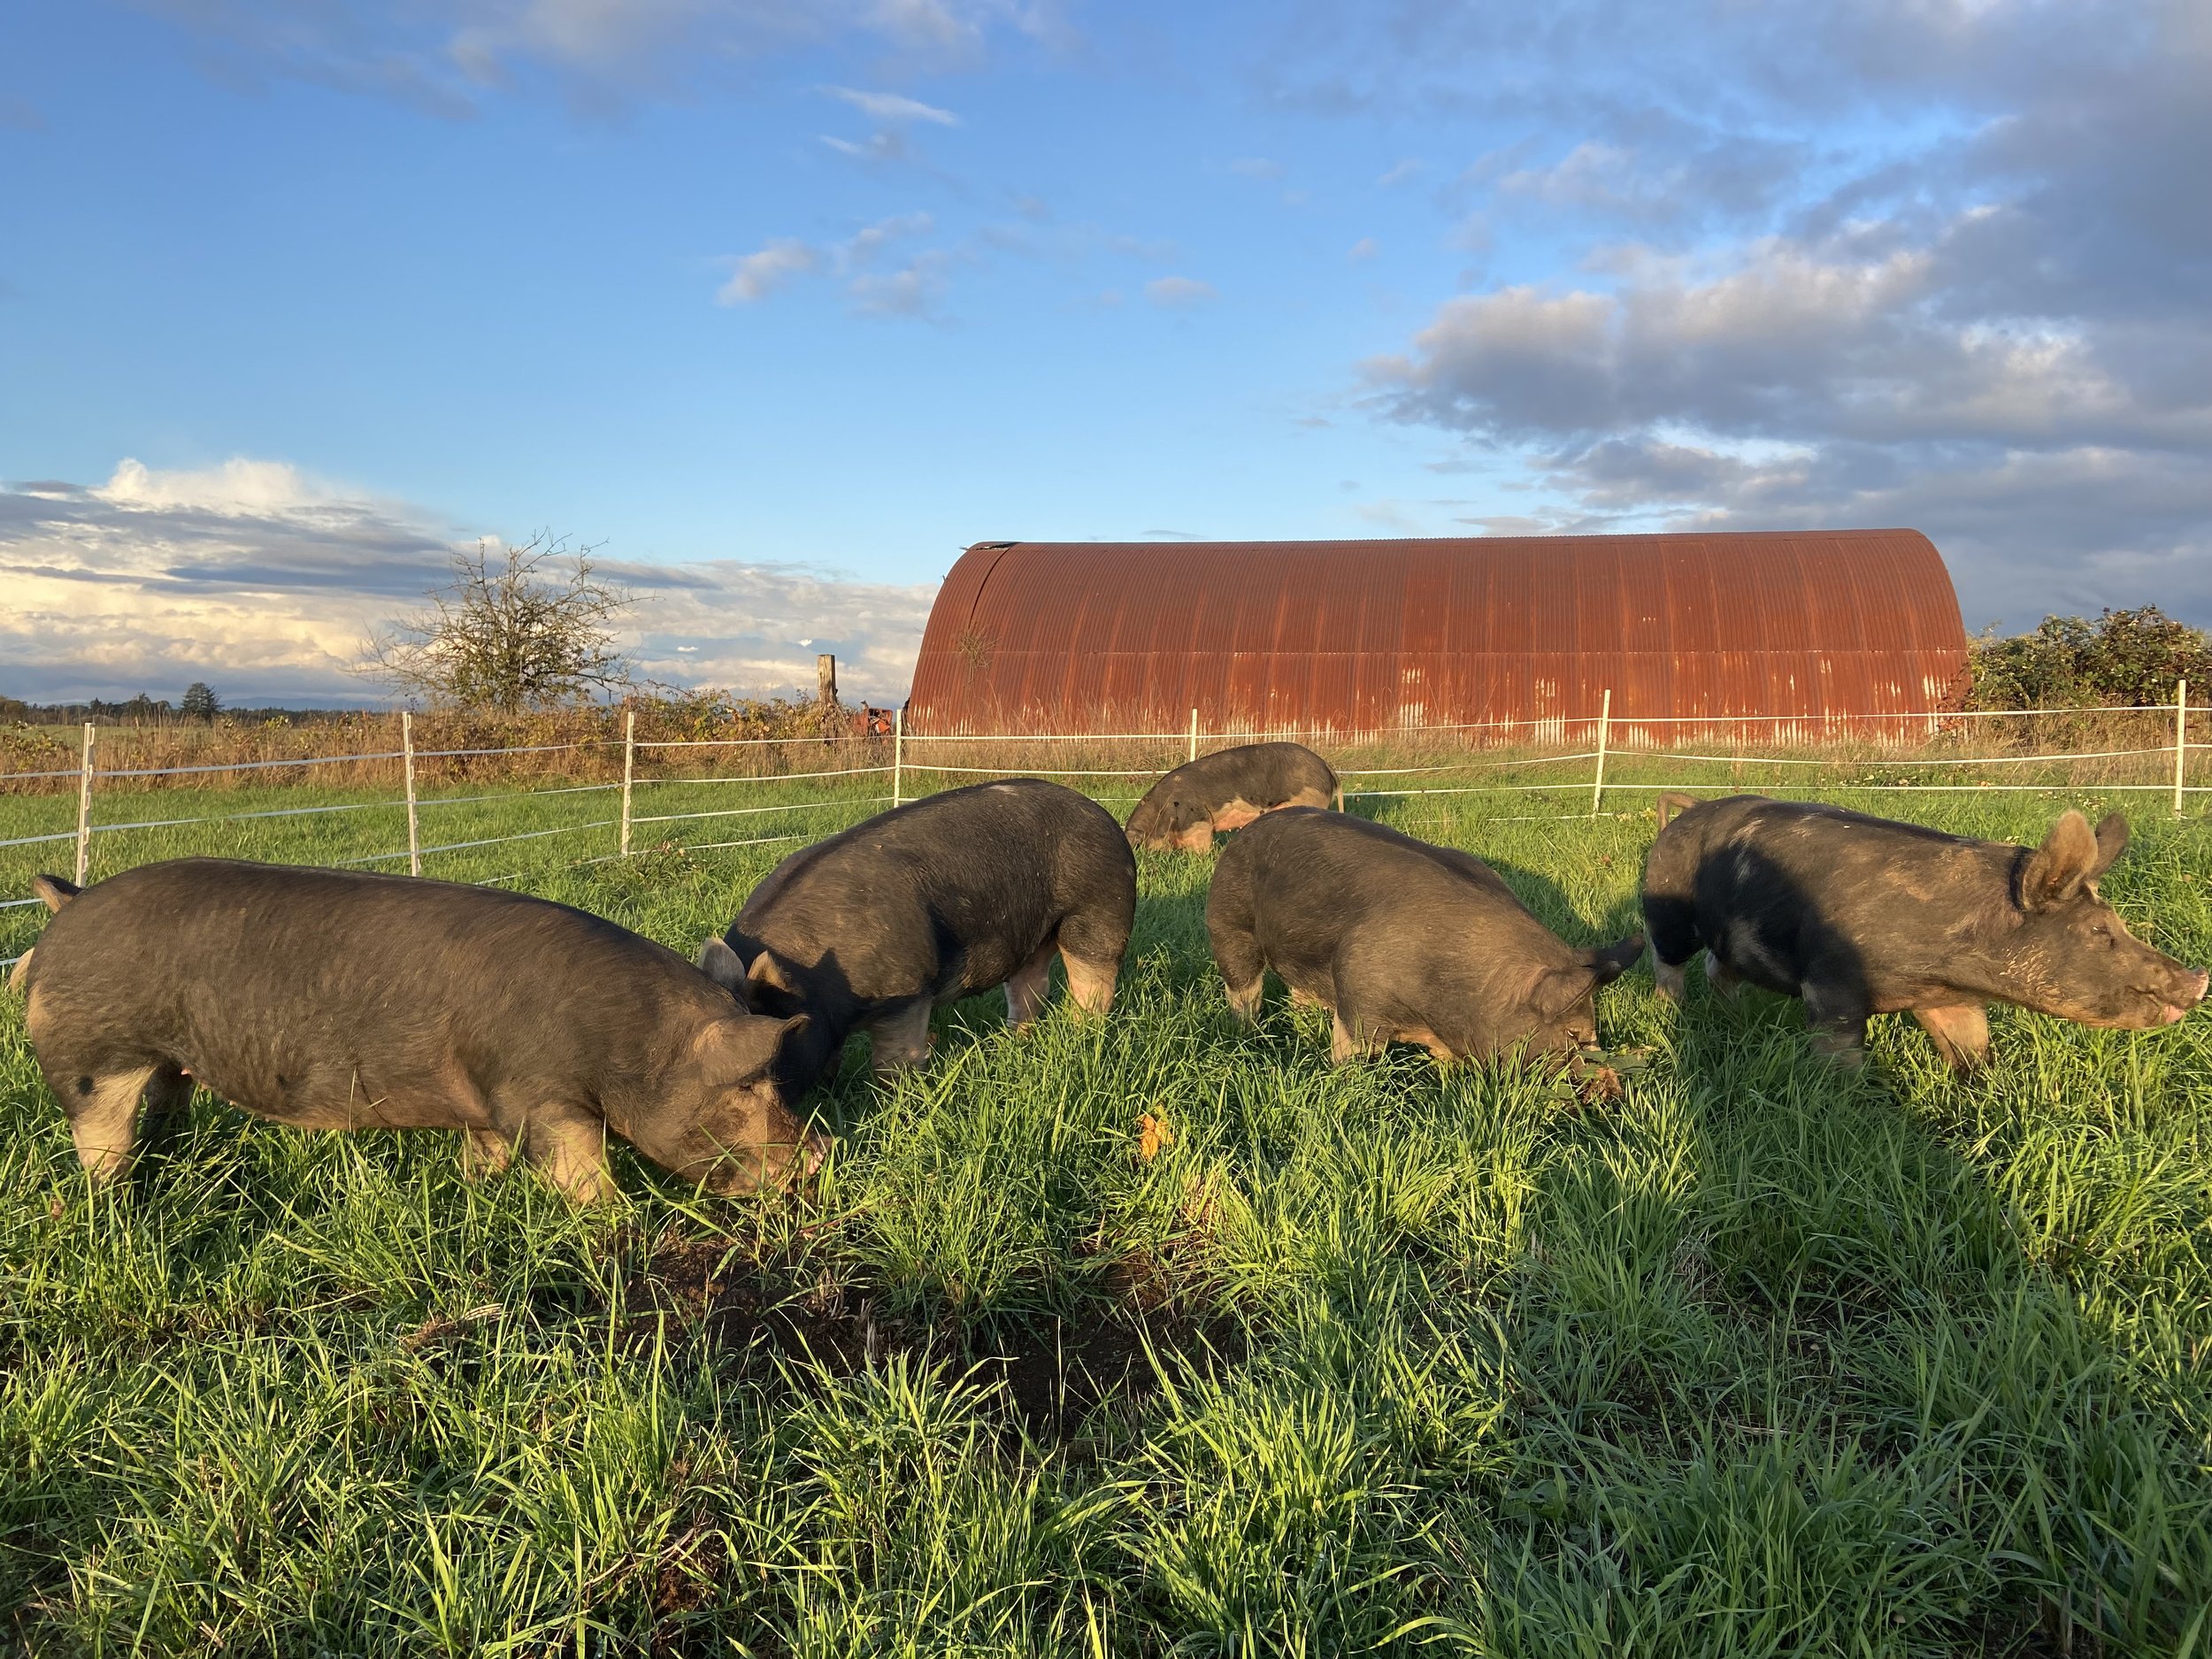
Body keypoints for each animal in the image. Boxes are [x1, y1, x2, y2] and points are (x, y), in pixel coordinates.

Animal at [13, 858, 820, 1203]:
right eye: (746, 1089)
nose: (818, 1158)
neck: (630, 1044)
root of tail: (68, 903)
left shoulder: (488, 1102)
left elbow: (484, 1155)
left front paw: (479, 1191)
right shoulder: (542, 1095)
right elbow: (580, 1168)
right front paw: (608, 1225)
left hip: (167, 1064)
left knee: (167, 1101)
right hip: (91, 1058)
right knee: (99, 1133)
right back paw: (113, 1201)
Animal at [713, 778, 1136, 1095]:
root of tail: (1105, 817)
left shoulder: (907, 991)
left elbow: (895, 1062)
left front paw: (891, 1101)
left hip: (1099, 913)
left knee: (1093, 984)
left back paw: (1084, 1035)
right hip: (1033, 938)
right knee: (1031, 989)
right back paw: (1015, 1042)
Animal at [1206, 807, 1643, 1064]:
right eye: (1573, 1034)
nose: (1610, 1092)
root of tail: (1247, 831)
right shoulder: (1359, 995)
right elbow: (1351, 1051)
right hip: (1228, 924)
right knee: (1243, 986)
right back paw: (1246, 1031)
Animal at [1641, 794, 2209, 1068]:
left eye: (2120, 923)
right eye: (2098, 930)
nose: (2199, 979)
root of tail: (1683, 815)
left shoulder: (1952, 997)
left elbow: (1972, 1048)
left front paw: (1979, 1090)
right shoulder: (1830, 981)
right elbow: (1840, 1051)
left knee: (1719, 967)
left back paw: (1730, 1015)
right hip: (1667, 910)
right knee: (1669, 963)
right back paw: (1675, 1013)